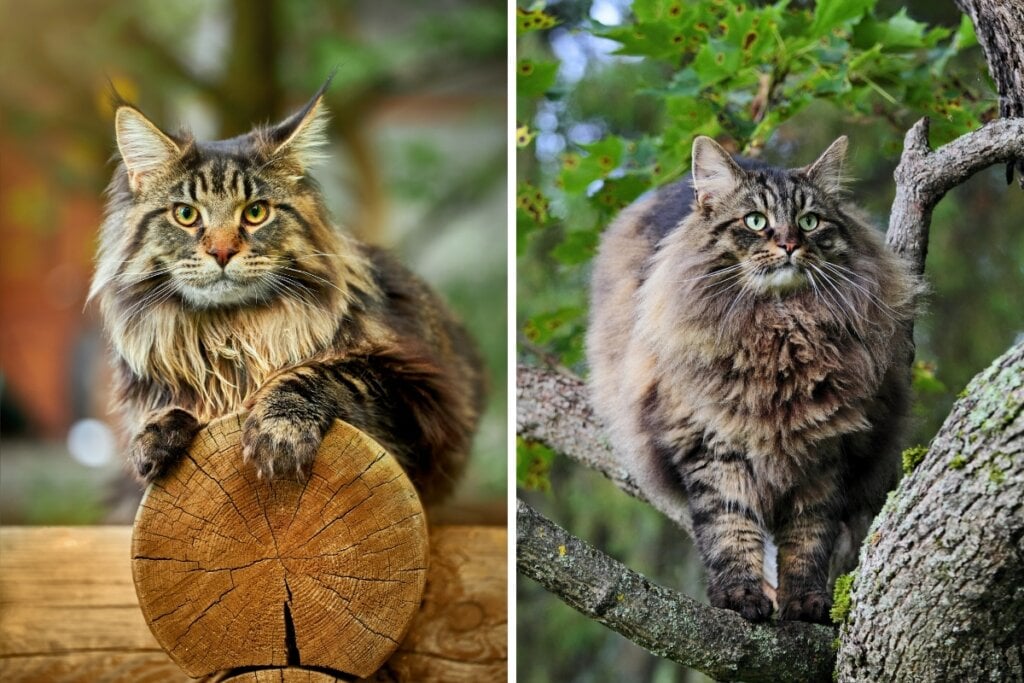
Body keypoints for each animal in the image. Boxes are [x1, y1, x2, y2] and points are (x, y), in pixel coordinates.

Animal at [90, 78, 485, 501]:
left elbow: (324, 372)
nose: (222, 251)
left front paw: (278, 432)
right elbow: (171, 408)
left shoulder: (416, 397)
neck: (232, 334)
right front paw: (154, 437)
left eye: (256, 212)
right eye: (186, 214)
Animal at [593, 135, 921, 626]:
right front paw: (741, 597)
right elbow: (731, 528)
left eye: (809, 221)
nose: (788, 244)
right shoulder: (711, 447)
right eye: (755, 221)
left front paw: (805, 602)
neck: (781, 332)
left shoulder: (826, 455)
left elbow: (807, 540)